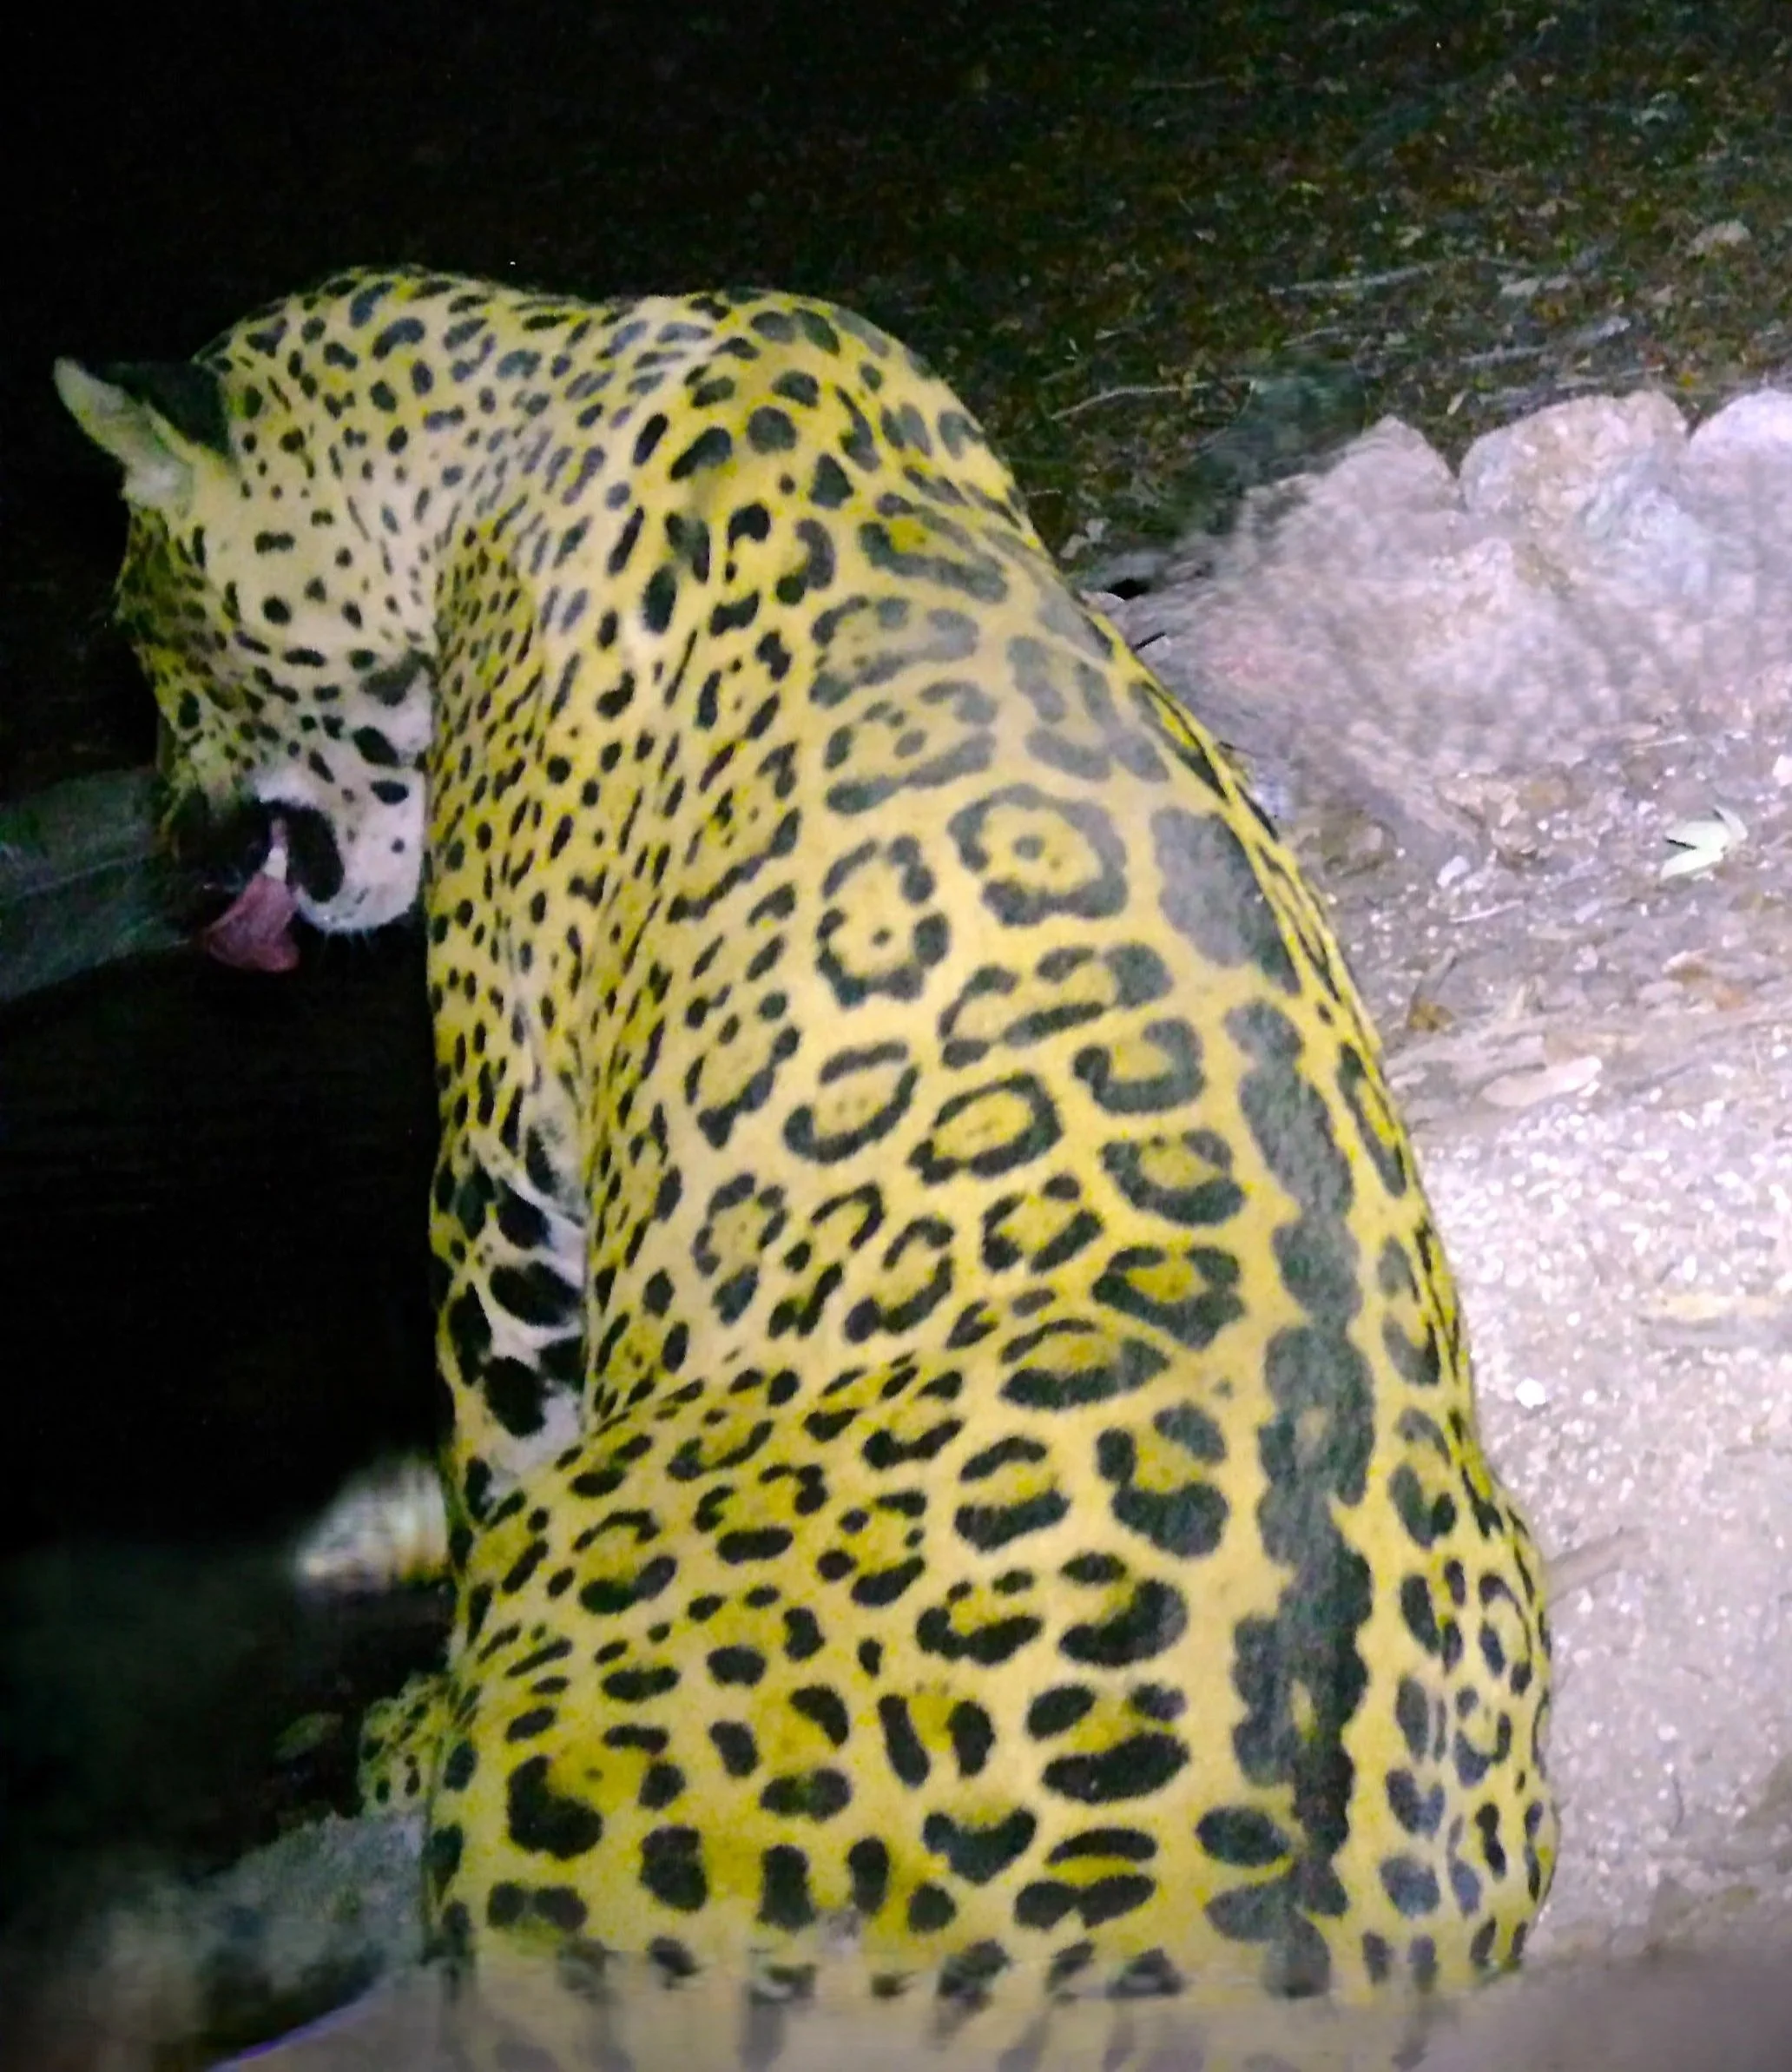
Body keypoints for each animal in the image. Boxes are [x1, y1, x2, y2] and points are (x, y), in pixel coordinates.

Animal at [56, 267, 1554, 2067]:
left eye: (146, 637)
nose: (173, 863)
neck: (510, 390)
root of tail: (1215, 1953)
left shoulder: (496, 1160)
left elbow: (492, 1439)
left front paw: (407, 1713)